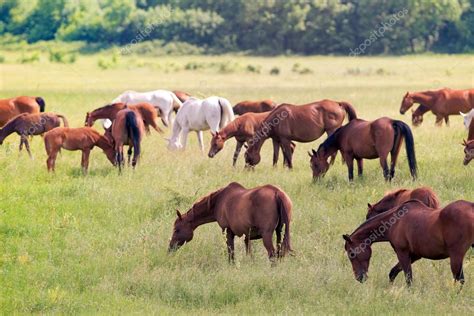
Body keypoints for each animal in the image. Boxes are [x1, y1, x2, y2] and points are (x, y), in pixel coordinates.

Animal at [342, 200, 472, 286]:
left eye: (351, 254)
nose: (360, 278)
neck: (394, 222)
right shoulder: (414, 255)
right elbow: (393, 272)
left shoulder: (402, 253)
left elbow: (408, 277)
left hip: (456, 256)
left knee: (460, 279)